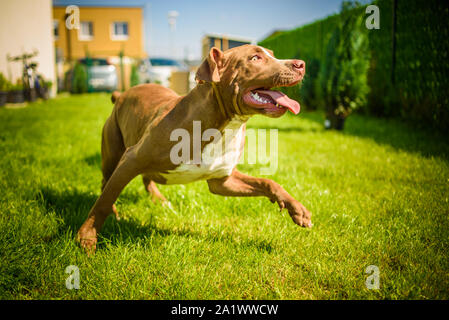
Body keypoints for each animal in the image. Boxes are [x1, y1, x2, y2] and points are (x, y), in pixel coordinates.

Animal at [77, 44, 310, 252]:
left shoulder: (222, 180)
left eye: (272, 54)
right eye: (255, 58)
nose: (301, 64)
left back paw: (159, 200)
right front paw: (87, 238)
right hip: (113, 154)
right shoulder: (131, 159)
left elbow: (267, 182)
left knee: (146, 178)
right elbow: (103, 202)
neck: (222, 124)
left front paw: (297, 209)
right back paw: (116, 213)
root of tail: (122, 95)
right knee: (106, 184)